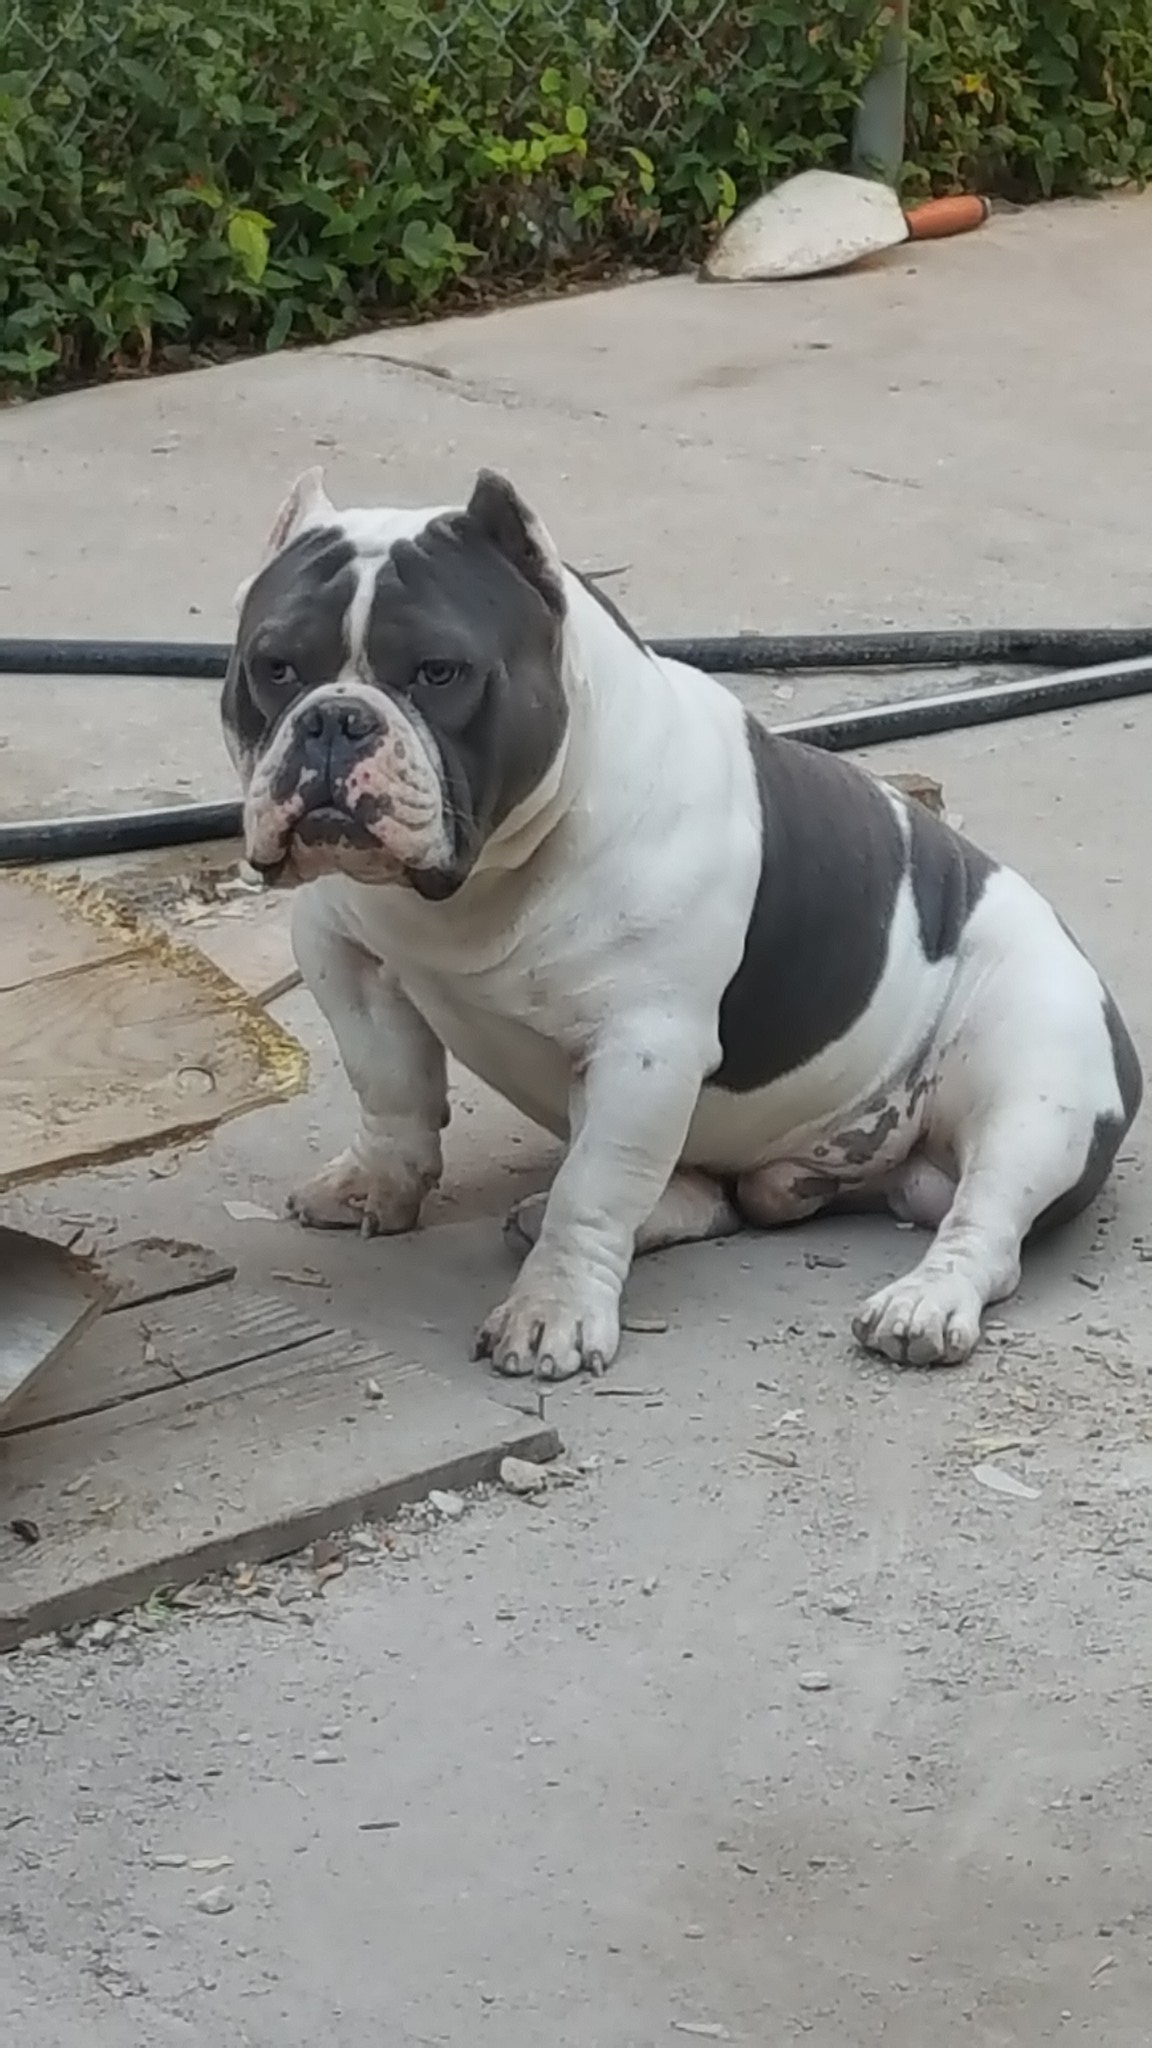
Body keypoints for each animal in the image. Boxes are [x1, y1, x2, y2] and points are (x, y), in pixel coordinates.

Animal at [221, 467, 1142, 1379]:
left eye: (439, 672)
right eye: (273, 666)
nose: (335, 717)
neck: (477, 881)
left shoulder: (645, 1046)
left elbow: (594, 1188)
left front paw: (552, 1312)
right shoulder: (343, 956)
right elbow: (390, 1087)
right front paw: (376, 1183)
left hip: (1038, 1088)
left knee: (984, 1226)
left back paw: (922, 1305)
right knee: (704, 1194)